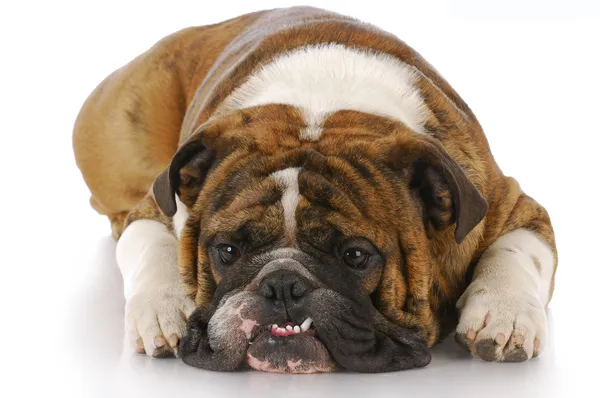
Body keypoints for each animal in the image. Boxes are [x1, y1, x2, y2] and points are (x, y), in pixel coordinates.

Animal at [74, 5, 556, 374]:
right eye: (227, 251)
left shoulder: (508, 204)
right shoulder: (155, 208)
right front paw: (163, 307)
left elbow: (517, 251)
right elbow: (148, 245)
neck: (320, 106)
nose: (282, 284)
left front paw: (504, 313)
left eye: (356, 255)